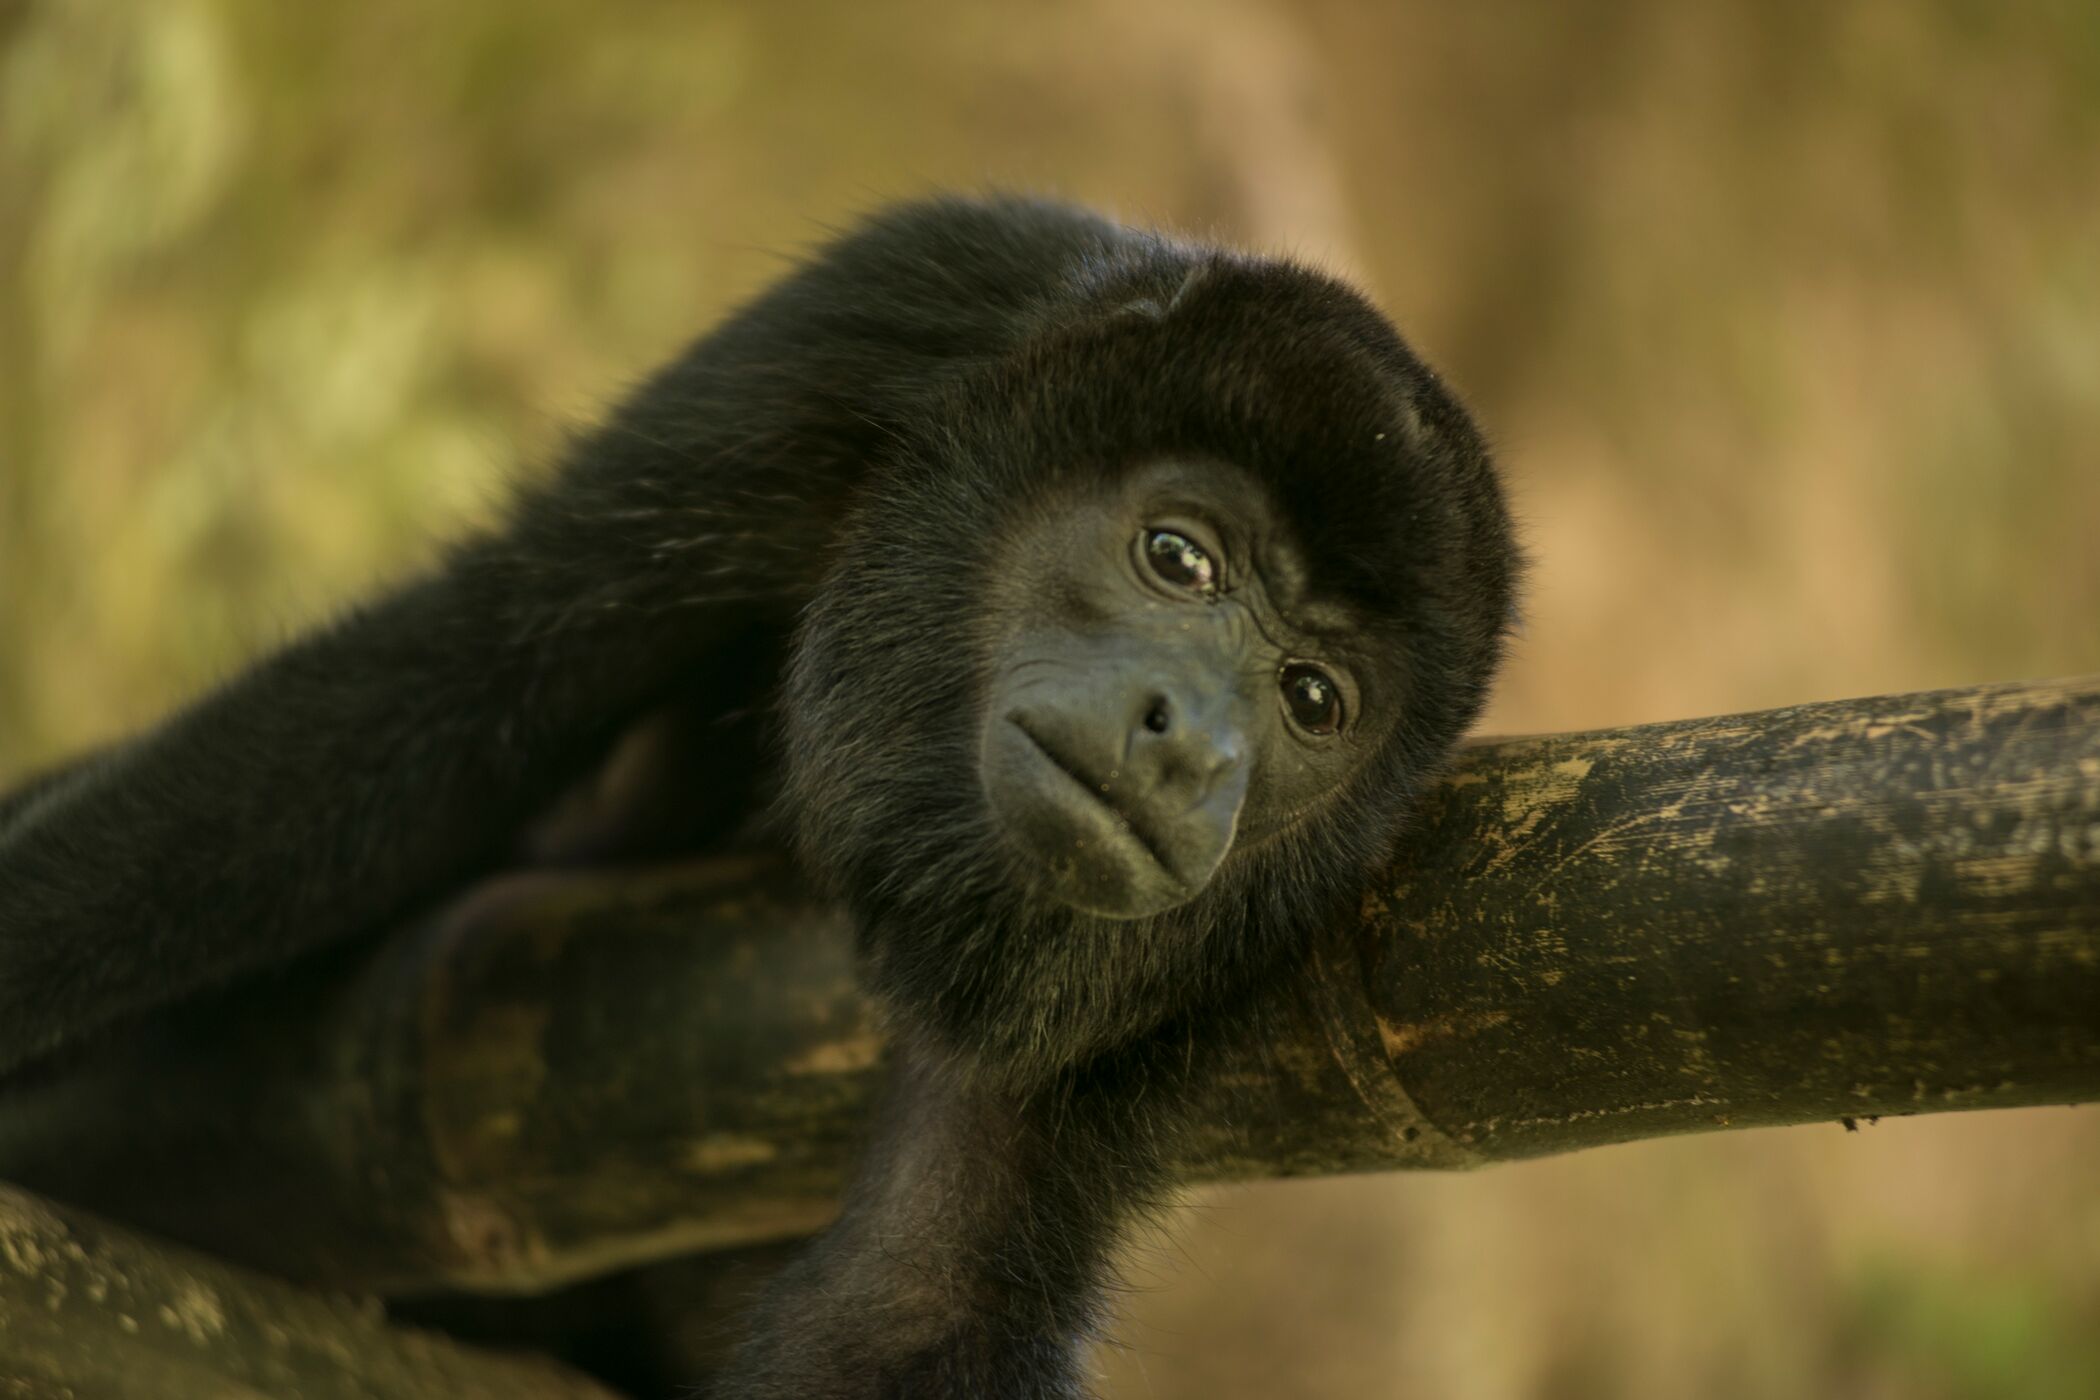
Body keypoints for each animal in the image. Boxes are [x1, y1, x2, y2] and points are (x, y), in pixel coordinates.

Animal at [0, 195, 1520, 1396]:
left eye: (1313, 701)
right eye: (1178, 557)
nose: (1191, 746)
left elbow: (918, 1297)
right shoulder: (897, 300)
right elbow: (449, 683)